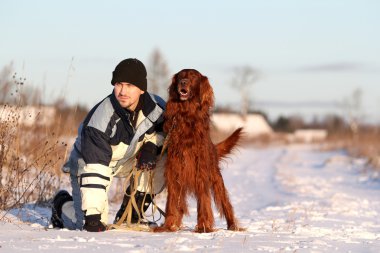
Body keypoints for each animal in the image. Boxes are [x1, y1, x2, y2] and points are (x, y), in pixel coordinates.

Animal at [154, 69, 243, 233]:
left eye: (193, 77)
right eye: (180, 75)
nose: (183, 82)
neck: (187, 116)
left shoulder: (200, 171)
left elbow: (204, 201)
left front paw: (204, 226)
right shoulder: (174, 170)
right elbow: (172, 201)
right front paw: (168, 225)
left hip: (215, 177)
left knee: (225, 202)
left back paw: (233, 225)